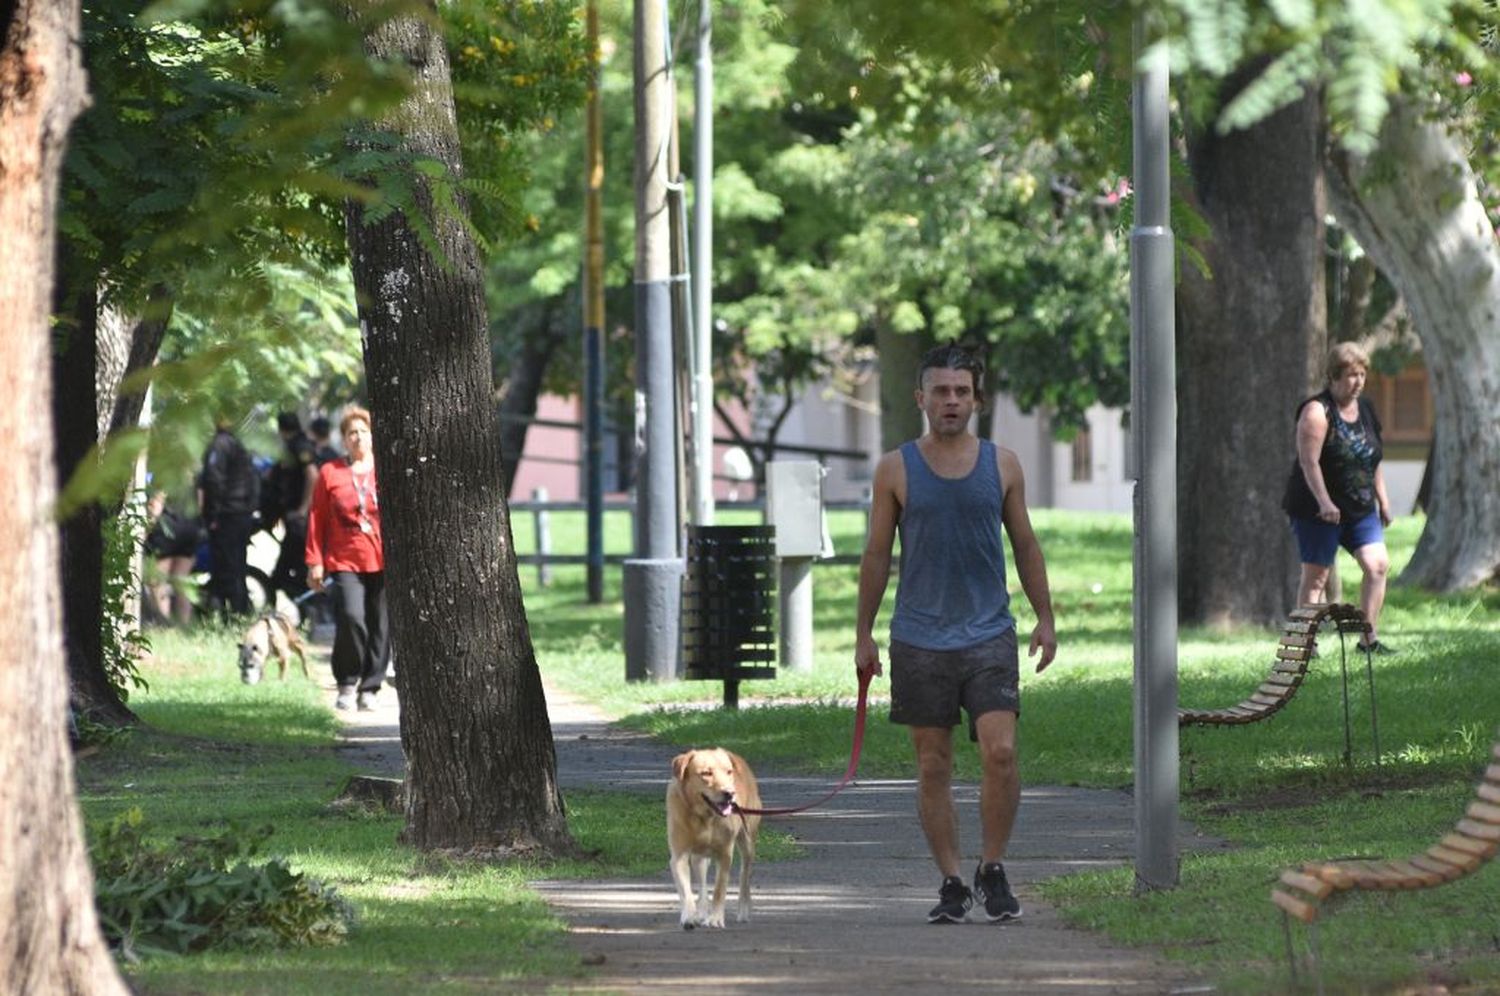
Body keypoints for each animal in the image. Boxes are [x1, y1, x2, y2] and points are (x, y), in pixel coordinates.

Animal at [669, 750, 762, 930]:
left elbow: (720, 889)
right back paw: (702, 912)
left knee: (744, 876)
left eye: (729, 772)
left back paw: (743, 911)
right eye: (706, 773)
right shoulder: (679, 856)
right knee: (702, 883)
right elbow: (686, 890)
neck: (705, 818)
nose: (730, 793)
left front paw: (716, 919)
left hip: (747, 841)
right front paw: (689, 916)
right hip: (699, 857)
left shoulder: (725, 854)